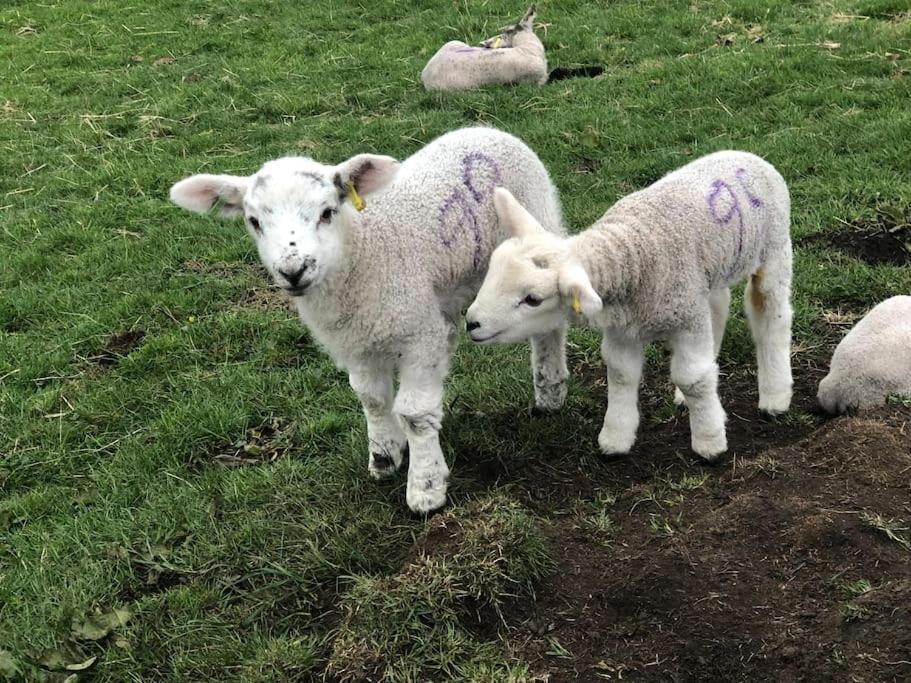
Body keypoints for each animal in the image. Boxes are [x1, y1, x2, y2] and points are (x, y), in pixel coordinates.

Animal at [168, 127, 568, 512]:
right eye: (254, 221)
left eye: (327, 212)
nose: (293, 271)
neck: (361, 251)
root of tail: (486, 129)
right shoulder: (356, 342)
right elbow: (372, 399)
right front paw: (384, 456)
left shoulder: (417, 334)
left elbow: (415, 412)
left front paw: (425, 489)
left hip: (535, 229)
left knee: (548, 322)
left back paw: (550, 391)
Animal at [466, 152, 796, 462]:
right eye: (491, 273)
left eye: (533, 299)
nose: (472, 323)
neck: (631, 252)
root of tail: (747, 156)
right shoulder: (623, 327)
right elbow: (621, 373)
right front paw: (615, 439)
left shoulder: (686, 318)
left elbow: (692, 378)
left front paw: (709, 442)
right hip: (708, 277)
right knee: (718, 308)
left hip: (774, 250)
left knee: (772, 317)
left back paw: (775, 396)